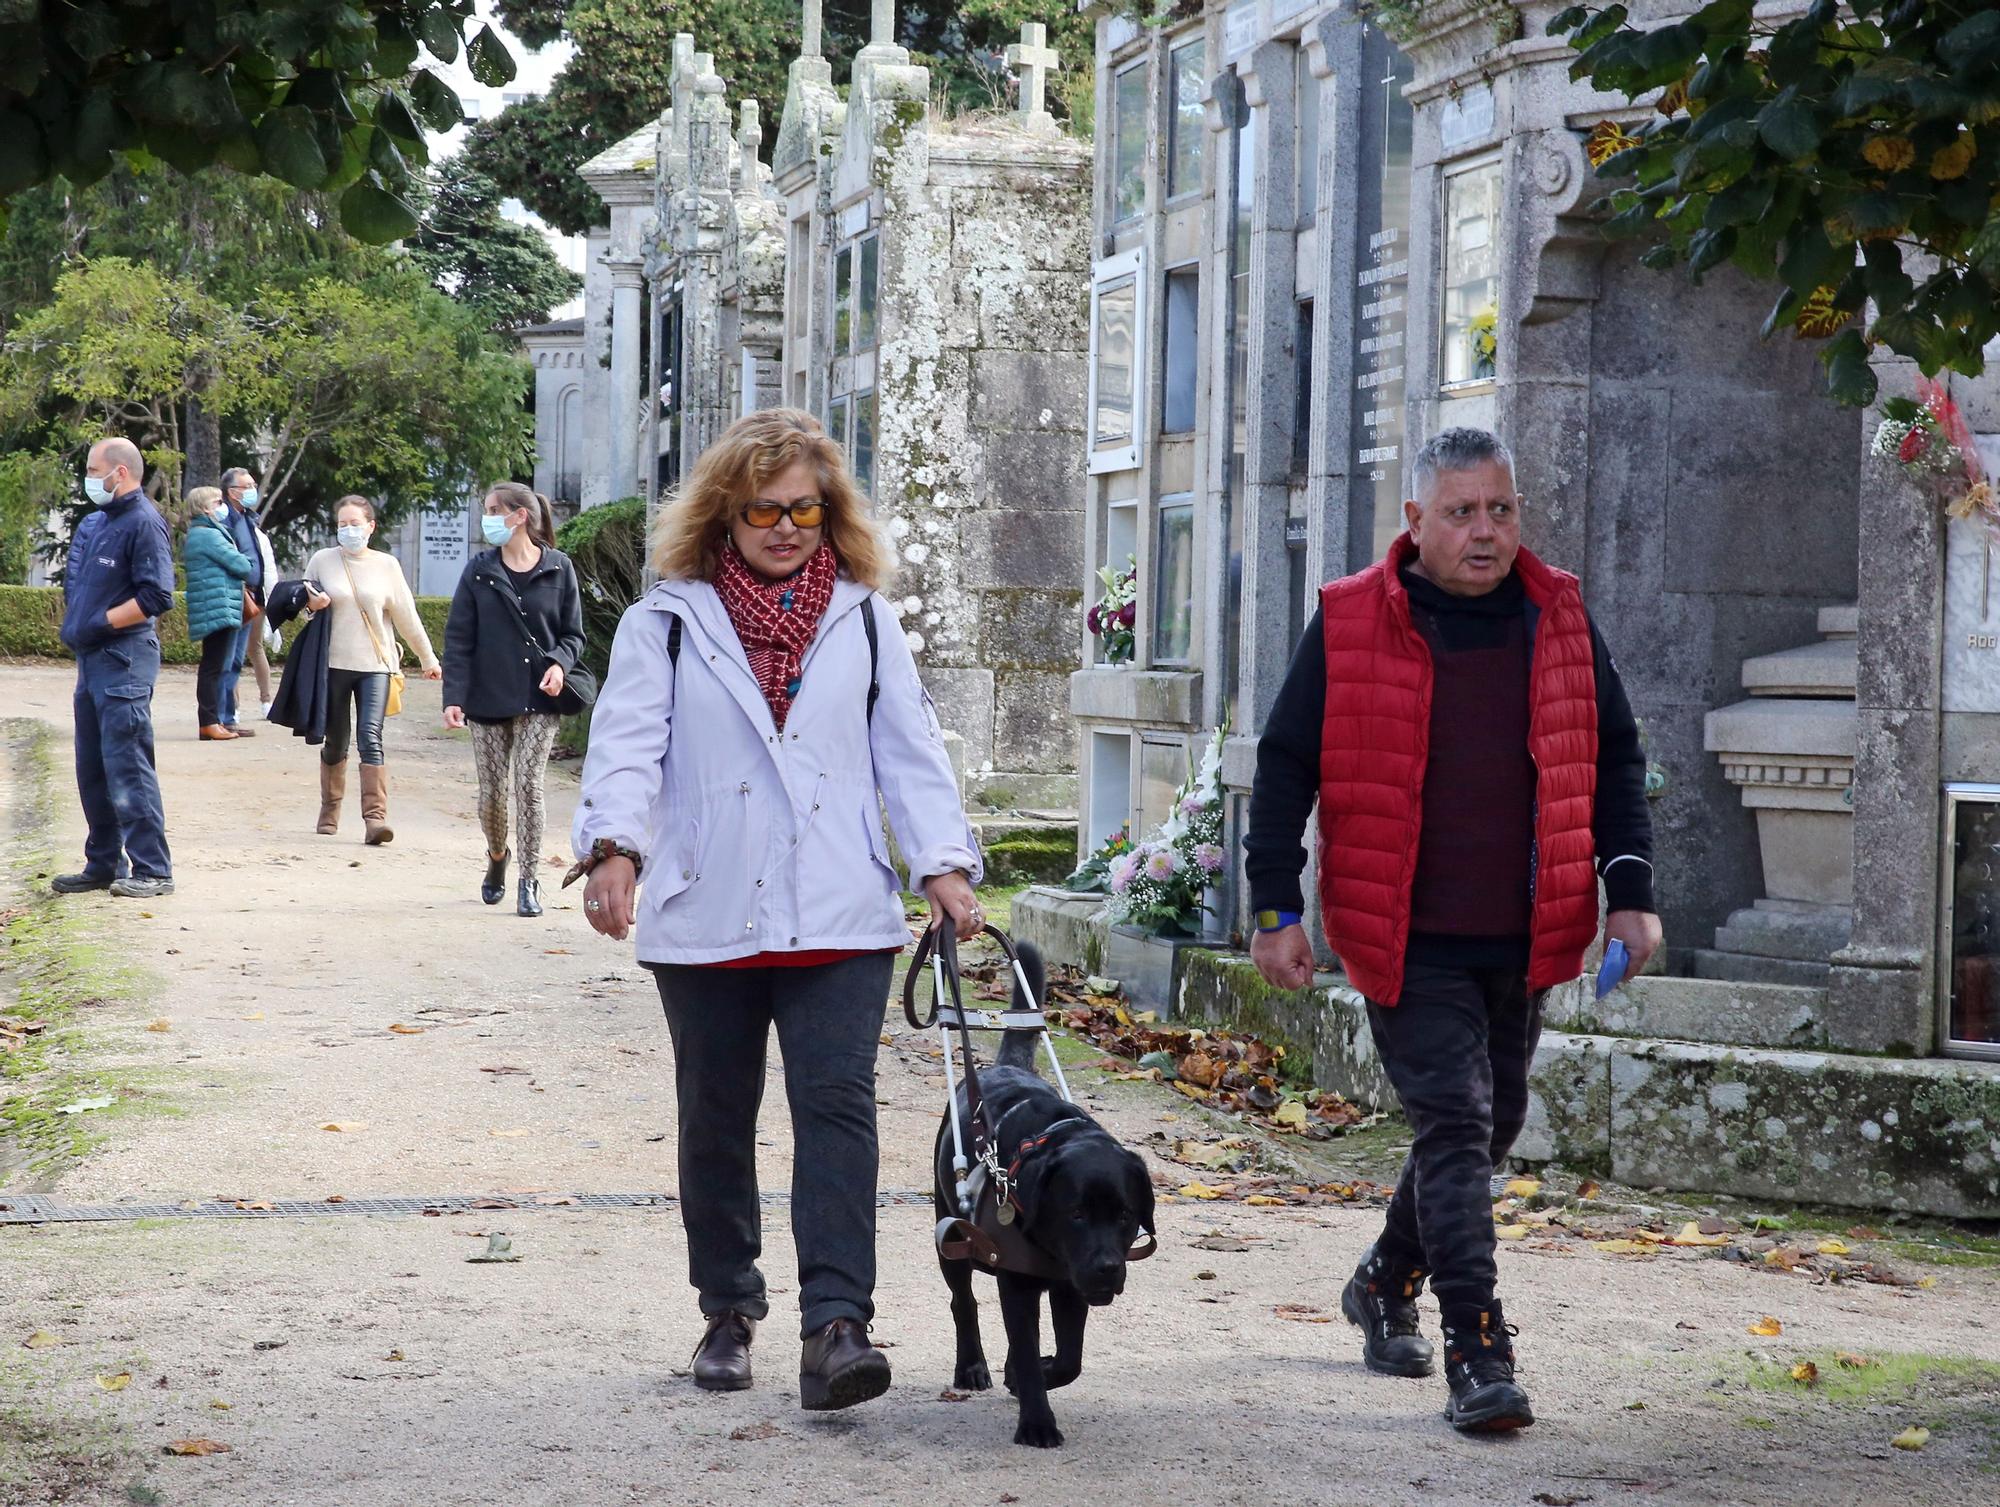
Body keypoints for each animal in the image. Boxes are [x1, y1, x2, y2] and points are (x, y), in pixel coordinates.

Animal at [932, 939, 1160, 1447]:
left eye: (1124, 1216)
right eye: (1075, 1214)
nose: (1108, 1267)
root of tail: (1002, 1067)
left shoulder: (1070, 1285)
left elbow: (1068, 1359)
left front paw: (1030, 1372)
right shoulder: (1019, 1283)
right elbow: (1025, 1345)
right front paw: (1036, 1422)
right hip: (950, 1234)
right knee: (963, 1301)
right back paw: (971, 1365)